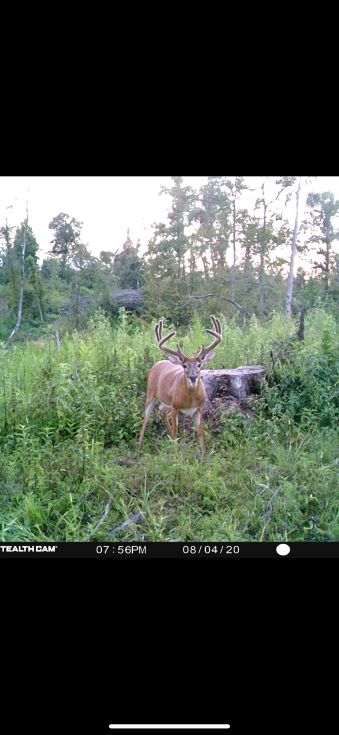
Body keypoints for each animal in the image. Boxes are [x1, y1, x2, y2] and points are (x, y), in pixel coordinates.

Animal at [139, 314, 223, 454]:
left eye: (199, 365)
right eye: (184, 365)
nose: (193, 377)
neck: (190, 399)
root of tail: (158, 363)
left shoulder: (199, 408)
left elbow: (200, 432)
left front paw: (204, 455)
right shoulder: (175, 407)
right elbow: (176, 432)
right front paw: (176, 455)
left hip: (165, 401)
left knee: (161, 411)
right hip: (151, 393)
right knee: (146, 418)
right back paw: (139, 445)